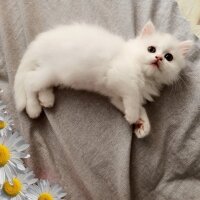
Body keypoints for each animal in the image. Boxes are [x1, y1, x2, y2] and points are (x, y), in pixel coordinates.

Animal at [13, 21, 192, 138]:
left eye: (169, 57)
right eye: (151, 49)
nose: (158, 58)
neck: (145, 76)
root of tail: (40, 41)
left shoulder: (116, 96)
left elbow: (138, 107)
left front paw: (142, 125)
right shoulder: (120, 78)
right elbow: (134, 97)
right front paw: (133, 117)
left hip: (52, 74)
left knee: (38, 83)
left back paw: (46, 99)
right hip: (52, 71)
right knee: (28, 81)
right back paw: (33, 107)